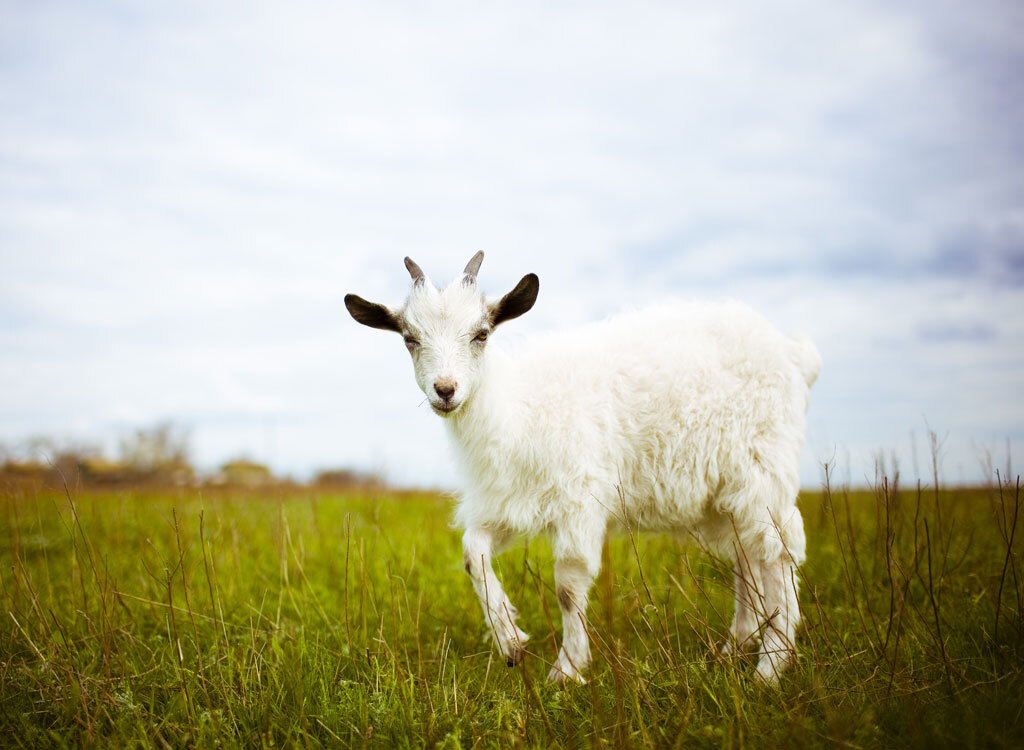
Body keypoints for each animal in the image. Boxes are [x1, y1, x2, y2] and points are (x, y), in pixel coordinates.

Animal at [345, 252, 820, 683]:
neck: (517, 405)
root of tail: (794, 354)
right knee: (747, 555)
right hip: (726, 493)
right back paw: (734, 649)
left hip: (763, 468)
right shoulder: (510, 500)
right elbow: (471, 553)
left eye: (481, 334)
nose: (446, 390)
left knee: (779, 552)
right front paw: (510, 640)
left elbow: (567, 587)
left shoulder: (578, 499)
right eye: (410, 338)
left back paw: (770, 667)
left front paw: (567, 670)